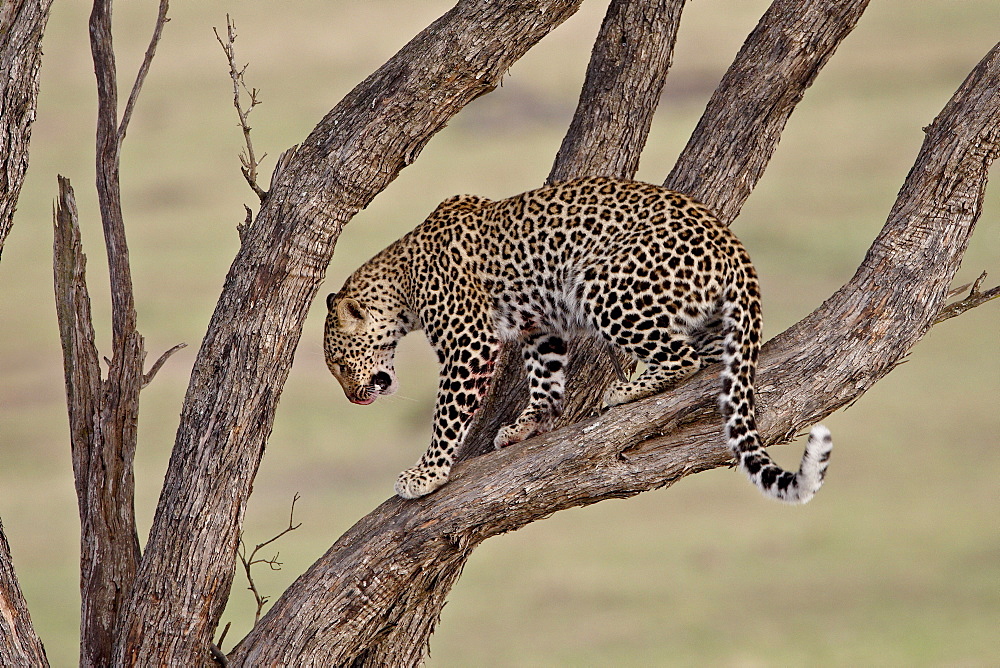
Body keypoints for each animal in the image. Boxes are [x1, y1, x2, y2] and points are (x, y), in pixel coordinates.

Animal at [324, 176, 832, 500]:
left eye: (342, 367)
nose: (353, 398)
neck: (400, 283)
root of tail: (732, 243)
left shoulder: (469, 343)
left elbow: (447, 416)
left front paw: (425, 475)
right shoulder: (539, 329)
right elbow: (545, 382)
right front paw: (526, 424)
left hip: (603, 283)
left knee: (681, 356)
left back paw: (627, 389)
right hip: (702, 315)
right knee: (709, 357)